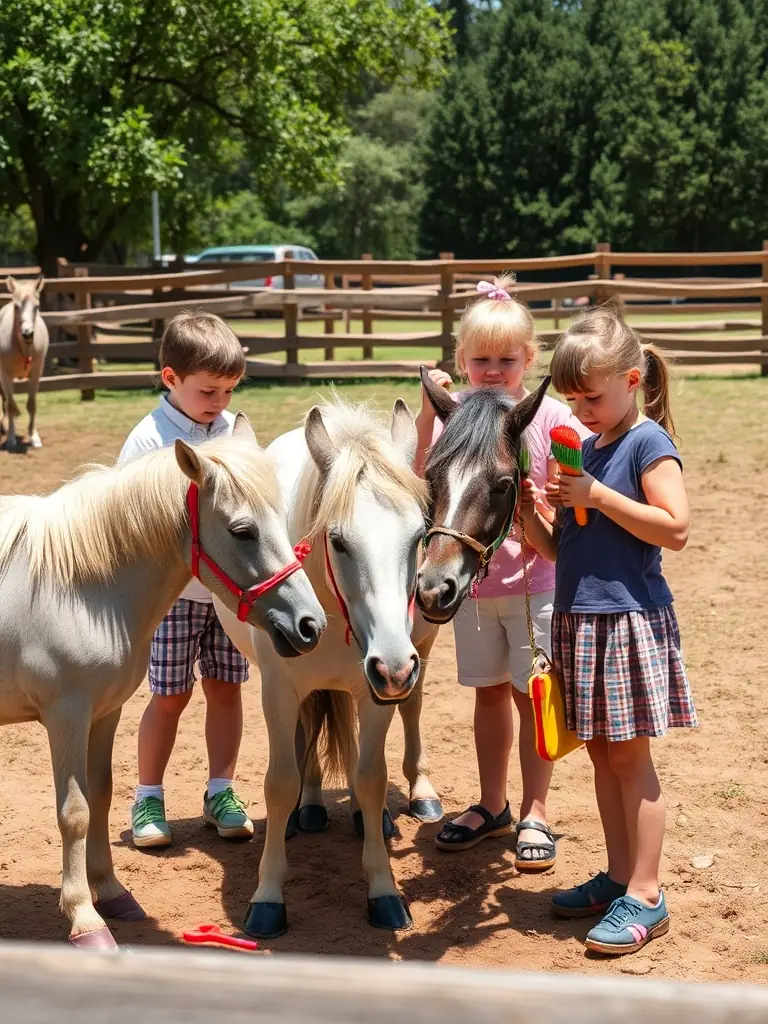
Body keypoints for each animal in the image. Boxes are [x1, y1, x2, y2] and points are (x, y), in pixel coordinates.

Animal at [0, 275, 49, 451]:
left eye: (37, 307)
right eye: (16, 306)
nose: (27, 333)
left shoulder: (36, 374)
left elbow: (31, 404)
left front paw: (34, 437)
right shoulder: (5, 375)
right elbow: (10, 406)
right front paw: (11, 439)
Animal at [0, 414, 326, 949]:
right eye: (242, 531)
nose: (309, 625)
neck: (81, 588)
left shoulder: (104, 712)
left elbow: (101, 794)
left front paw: (113, 893)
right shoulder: (66, 714)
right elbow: (75, 812)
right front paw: (85, 919)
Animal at [216, 396, 442, 938]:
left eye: (418, 535)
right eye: (337, 540)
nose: (395, 666)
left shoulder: (375, 691)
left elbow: (371, 777)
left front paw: (383, 890)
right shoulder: (278, 691)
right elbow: (279, 784)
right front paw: (268, 897)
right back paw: (312, 806)